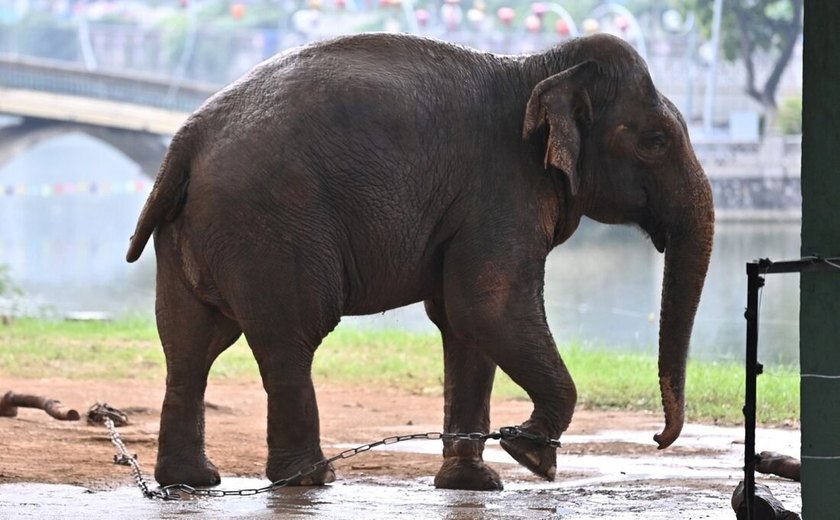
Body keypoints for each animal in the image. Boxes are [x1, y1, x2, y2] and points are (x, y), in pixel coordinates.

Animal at [126, 32, 716, 492]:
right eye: (655, 141)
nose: (659, 438)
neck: (539, 67)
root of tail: (187, 139)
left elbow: (464, 324)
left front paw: (475, 482)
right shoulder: (502, 190)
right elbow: (487, 306)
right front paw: (530, 455)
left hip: (189, 233)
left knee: (190, 345)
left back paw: (192, 481)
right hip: (273, 226)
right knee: (291, 339)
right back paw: (311, 478)